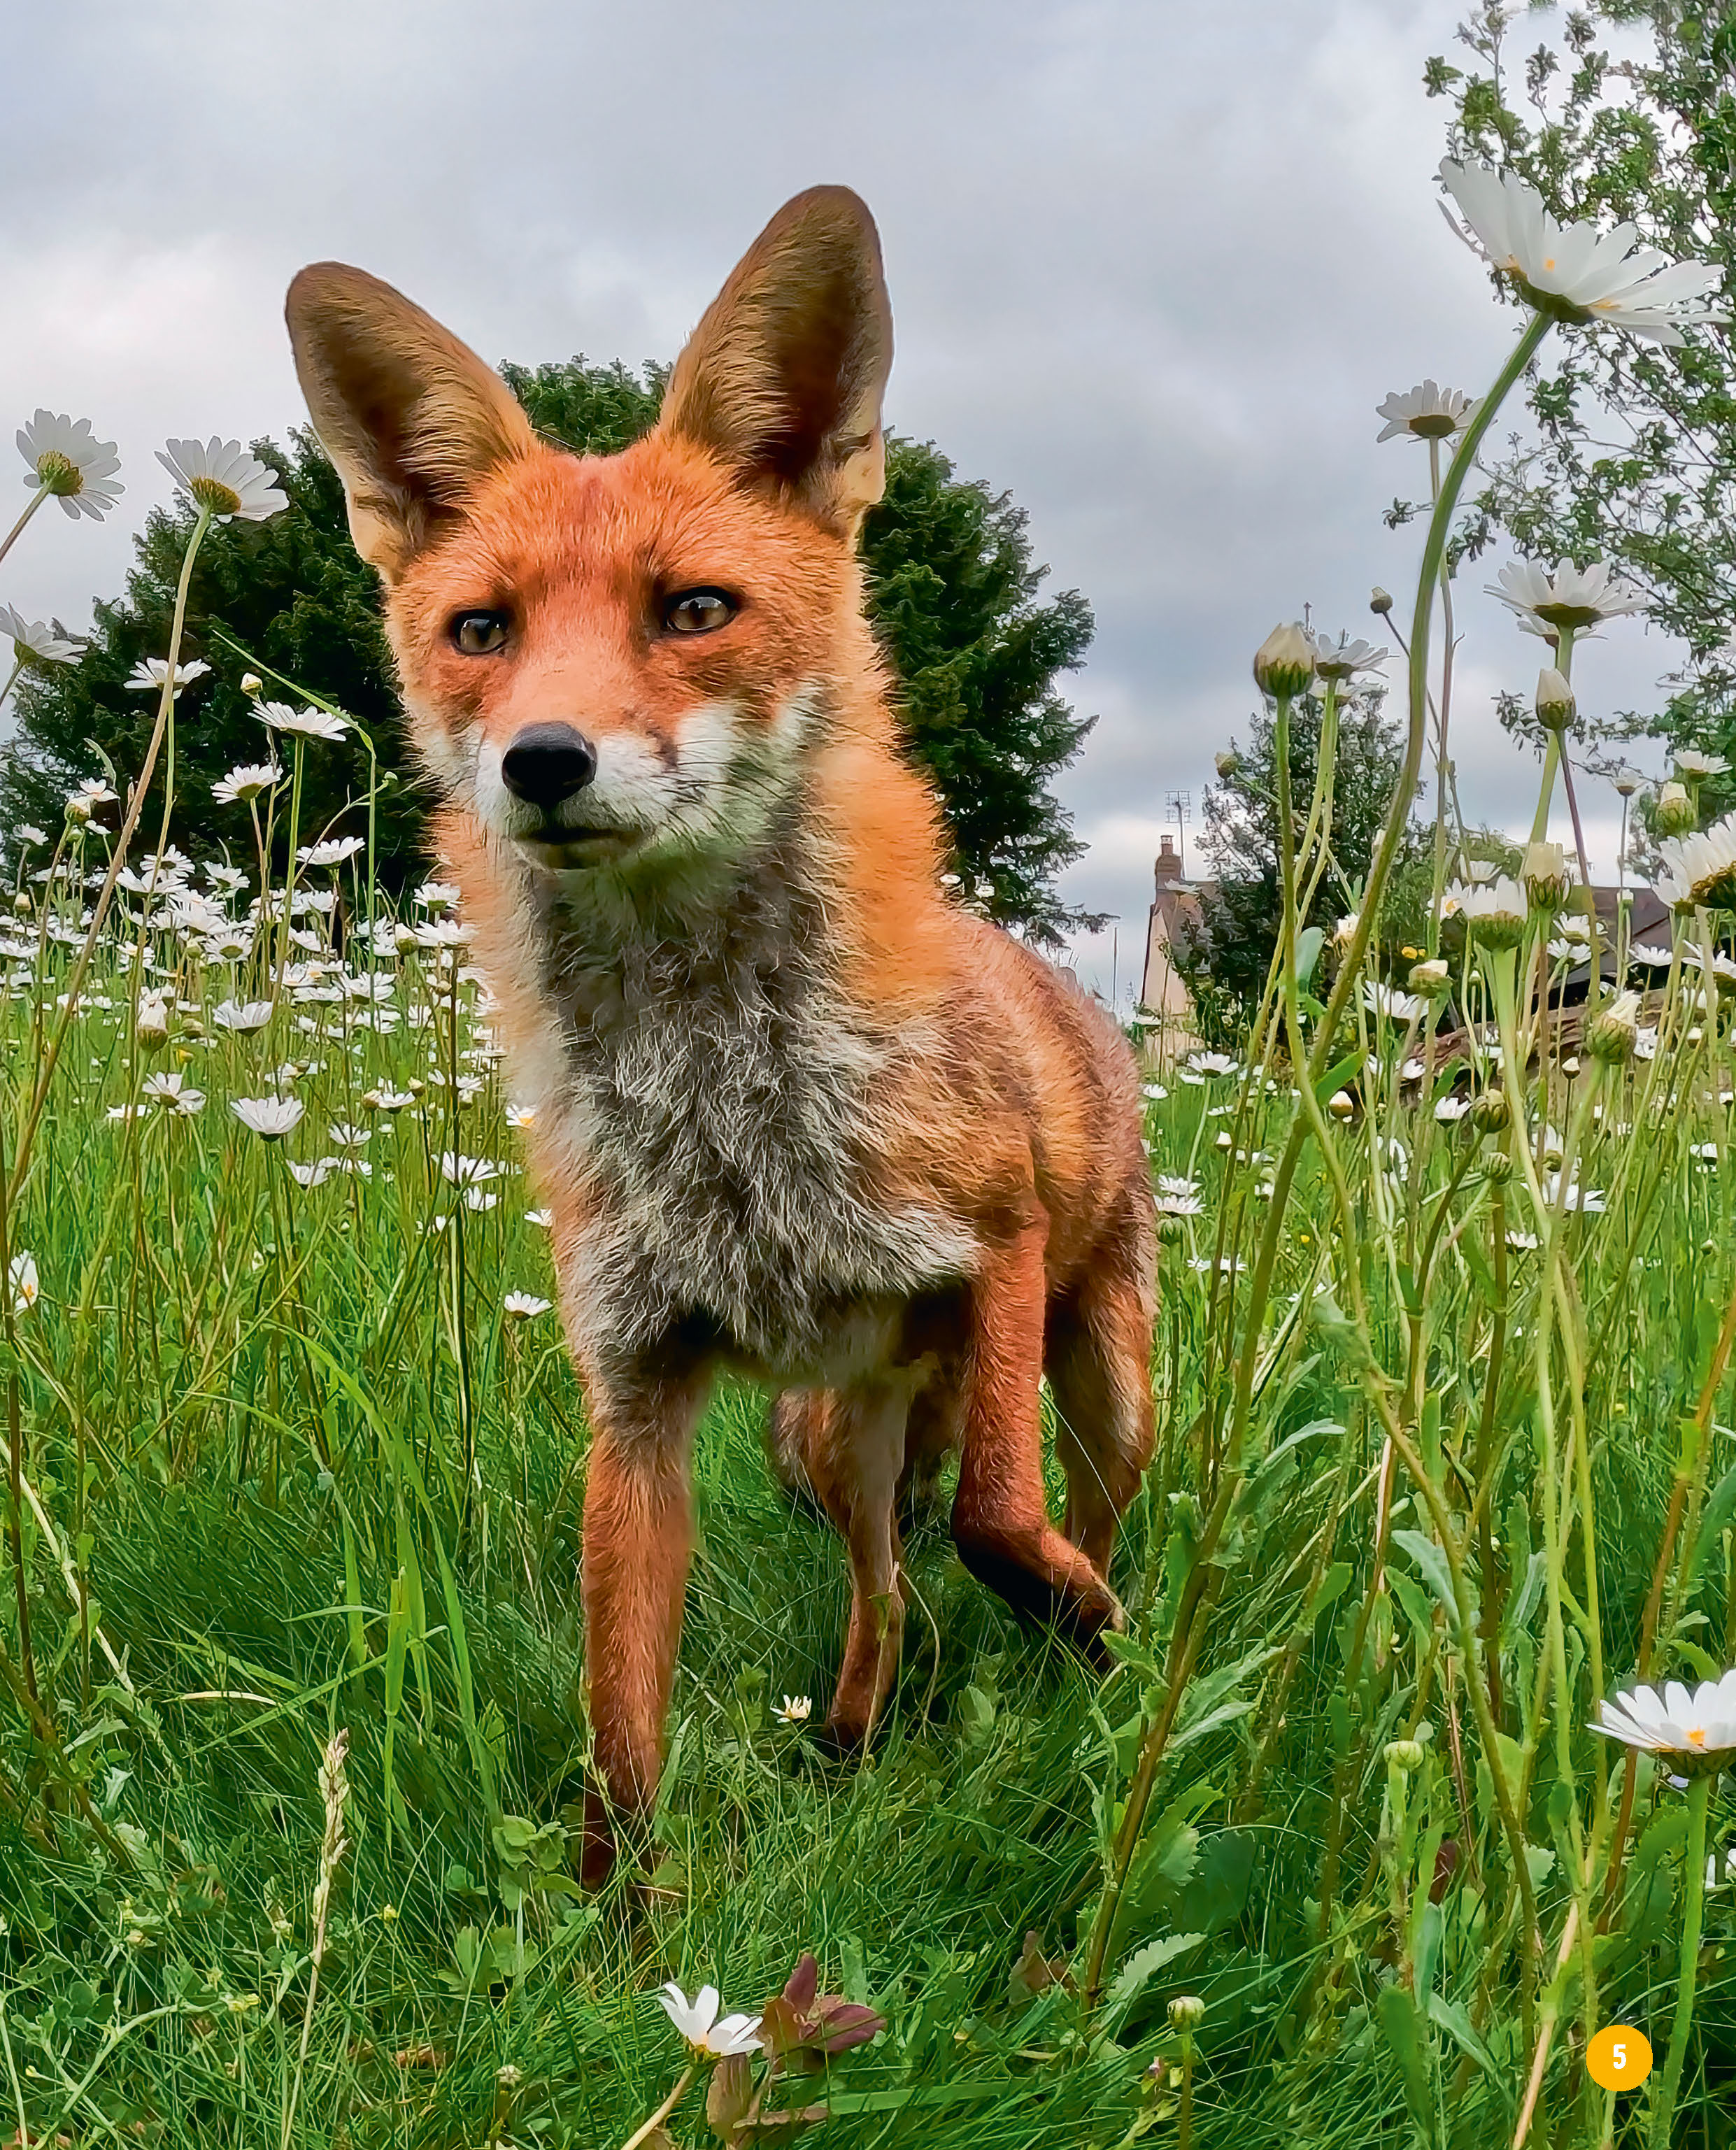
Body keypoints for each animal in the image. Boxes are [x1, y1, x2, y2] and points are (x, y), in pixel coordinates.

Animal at [285, 185, 1156, 1882]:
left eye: (694, 610)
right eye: (480, 630)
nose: (543, 762)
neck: (727, 1117)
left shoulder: (997, 1241)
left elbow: (1000, 1521)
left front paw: (1086, 1628)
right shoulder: (633, 1399)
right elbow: (617, 1742)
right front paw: (618, 1940)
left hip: (1103, 1382)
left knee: (1063, 1510)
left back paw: (1095, 1642)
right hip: (836, 1436)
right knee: (882, 1590)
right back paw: (853, 1735)